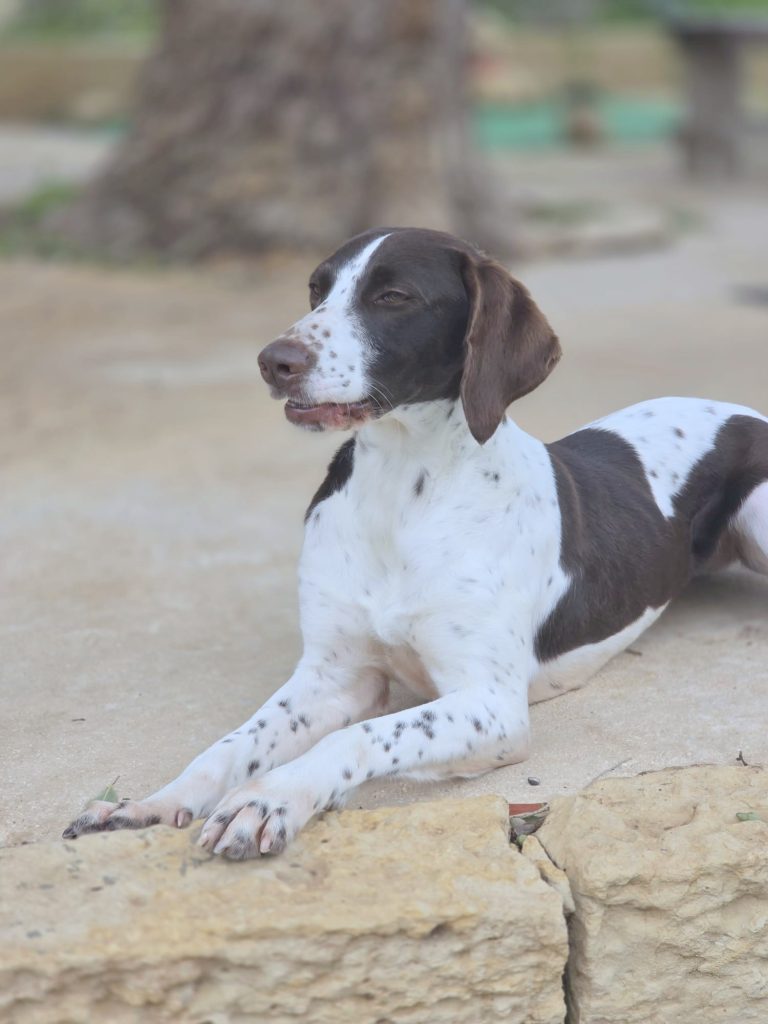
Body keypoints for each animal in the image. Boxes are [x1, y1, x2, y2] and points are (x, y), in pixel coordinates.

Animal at [64, 227, 768, 859]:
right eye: (316, 289)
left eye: (394, 296)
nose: (274, 360)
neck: (401, 492)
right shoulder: (334, 673)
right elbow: (233, 743)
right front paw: (155, 803)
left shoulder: (492, 707)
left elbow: (356, 739)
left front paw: (271, 799)